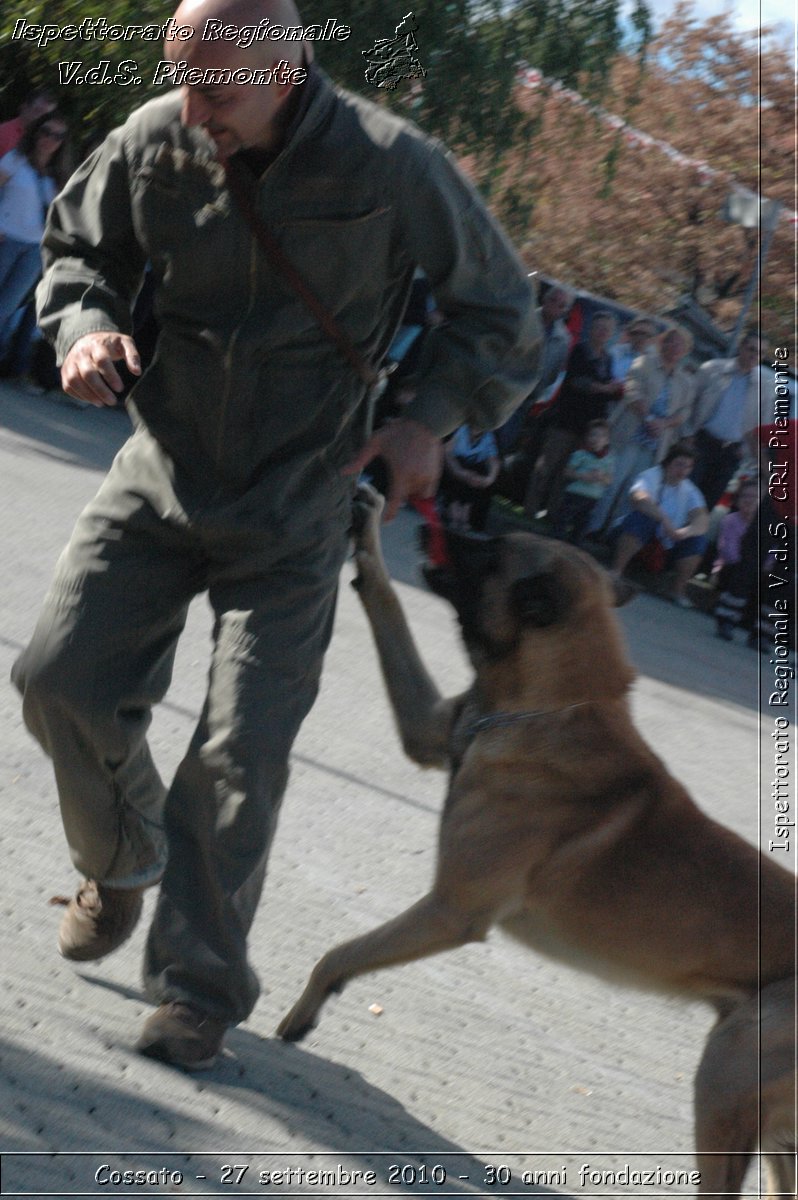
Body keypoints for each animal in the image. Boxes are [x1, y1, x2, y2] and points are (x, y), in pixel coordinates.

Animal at [277, 484, 792, 1190]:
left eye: (490, 554)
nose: (442, 522)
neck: (548, 704)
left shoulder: (451, 912)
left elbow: (337, 953)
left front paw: (300, 1014)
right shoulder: (430, 730)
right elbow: (386, 606)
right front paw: (368, 535)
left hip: (724, 1079)